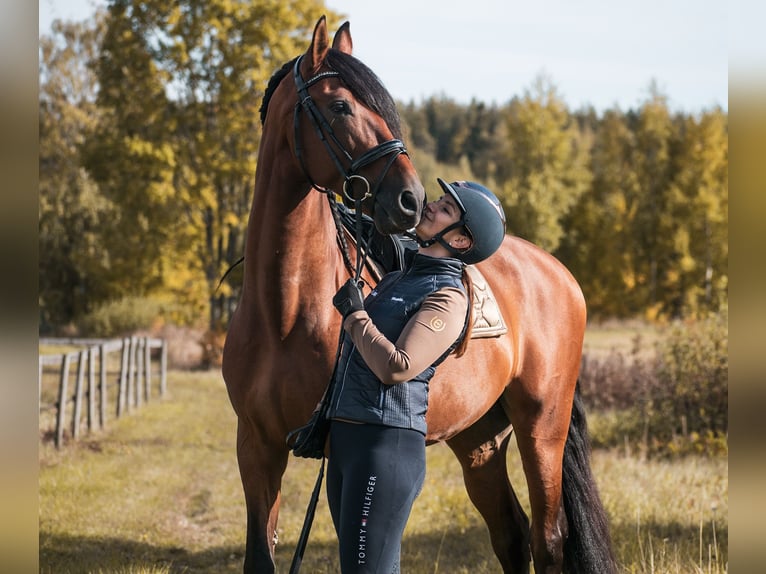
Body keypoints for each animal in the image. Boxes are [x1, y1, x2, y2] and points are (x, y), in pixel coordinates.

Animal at [222, 15, 616, 572]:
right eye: (340, 106)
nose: (411, 199)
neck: (285, 311)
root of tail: (559, 273)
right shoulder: (256, 448)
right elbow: (261, 554)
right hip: (478, 438)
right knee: (511, 534)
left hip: (543, 426)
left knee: (549, 538)